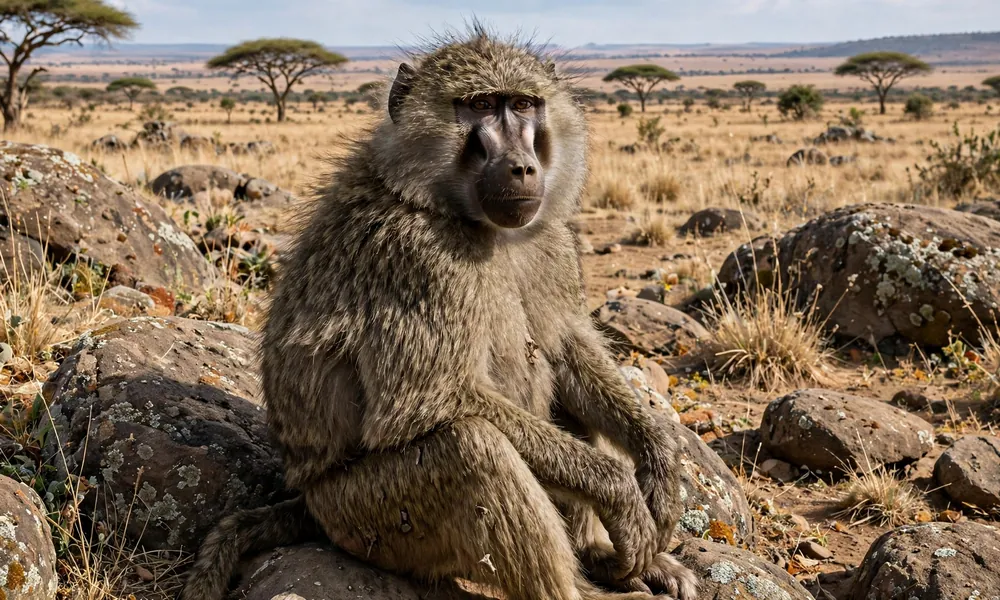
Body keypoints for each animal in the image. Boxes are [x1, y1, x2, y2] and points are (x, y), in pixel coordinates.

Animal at [180, 26, 697, 600]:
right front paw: (622, 492)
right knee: (473, 447)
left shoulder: (555, 243)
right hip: (363, 516)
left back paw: (602, 557)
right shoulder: (416, 258)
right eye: (480, 106)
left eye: (523, 104)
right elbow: (428, 402)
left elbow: (568, 344)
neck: (460, 215)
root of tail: (308, 502)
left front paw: (659, 460)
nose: (523, 167)